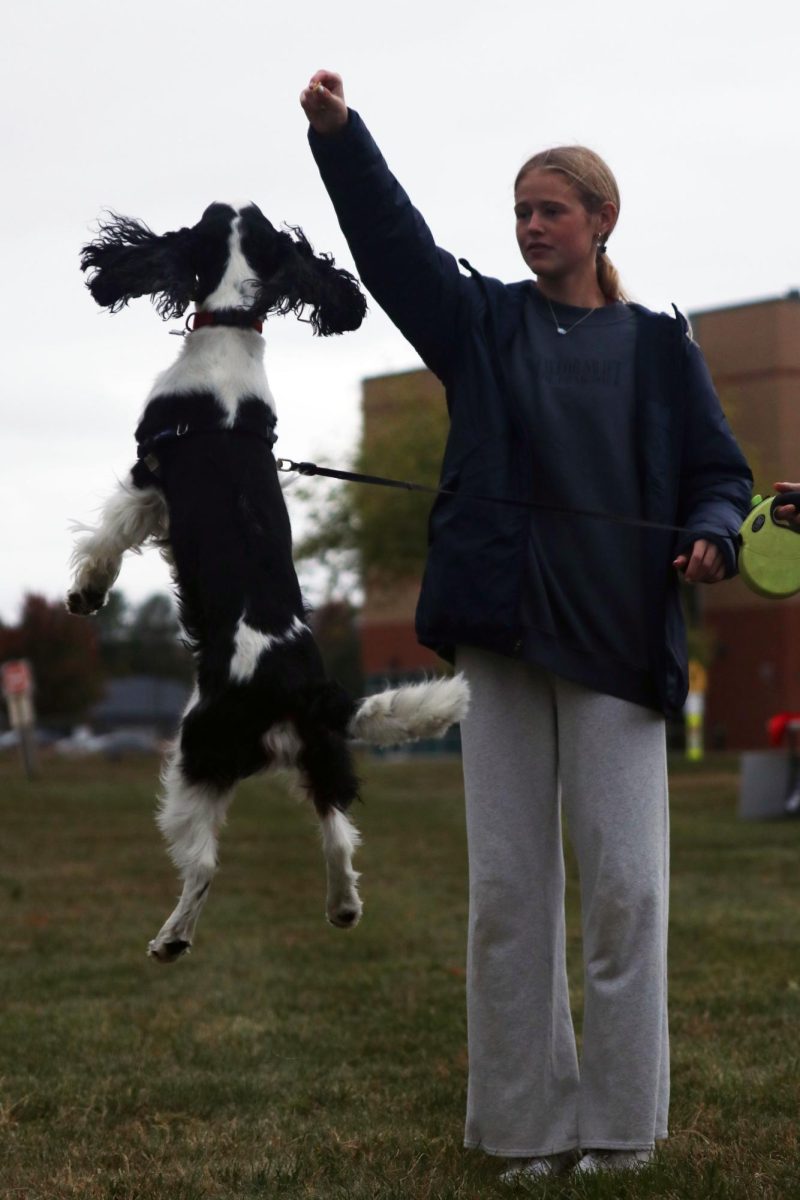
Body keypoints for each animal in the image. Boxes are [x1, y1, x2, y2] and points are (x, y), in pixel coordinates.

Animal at [70, 201, 470, 960]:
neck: (229, 325)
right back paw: (343, 908)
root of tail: (302, 685)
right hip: (324, 756)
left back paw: (171, 940)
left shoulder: (149, 480)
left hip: (197, 753)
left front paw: (85, 593)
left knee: (202, 864)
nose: (221, 206)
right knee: (340, 835)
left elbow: (108, 533)